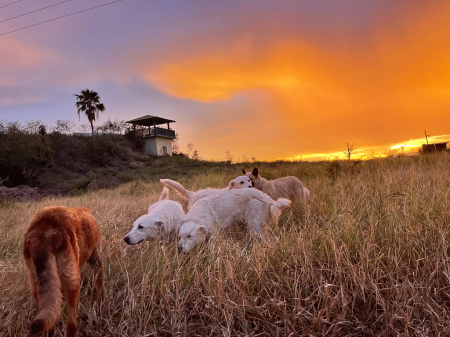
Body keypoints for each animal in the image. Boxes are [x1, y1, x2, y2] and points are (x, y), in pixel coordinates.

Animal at [24, 205, 103, 336]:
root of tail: (43, 232)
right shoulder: (95, 257)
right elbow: (99, 279)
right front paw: (99, 297)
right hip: (72, 284)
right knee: (72, 324)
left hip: (35, 287)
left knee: (50, 324)